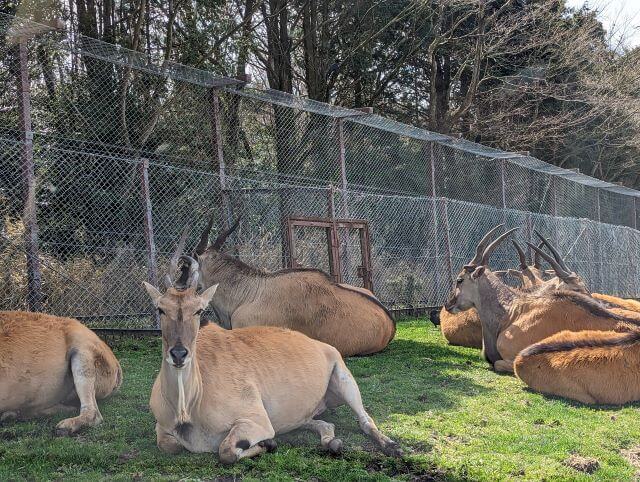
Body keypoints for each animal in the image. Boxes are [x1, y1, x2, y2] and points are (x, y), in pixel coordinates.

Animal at [144, 247, 402, 466]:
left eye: (198, 310)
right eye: (160, 309)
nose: (179, 354)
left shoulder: (257, 422)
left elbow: (226, 451)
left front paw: (267, 444)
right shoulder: (163, 430)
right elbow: (170, 445)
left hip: (346, 382)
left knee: (365, 421)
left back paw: (390, 445)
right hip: (301, 414)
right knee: (325, 424)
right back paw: (332, 443)